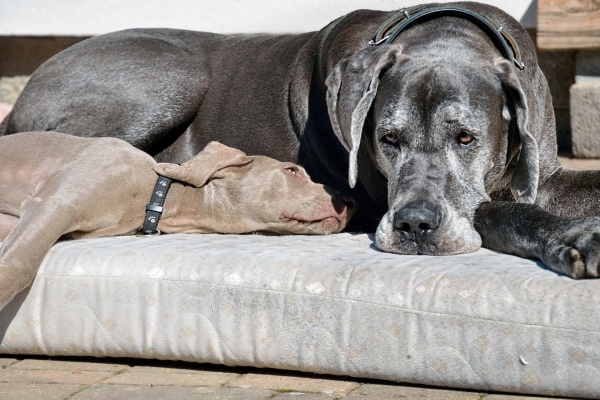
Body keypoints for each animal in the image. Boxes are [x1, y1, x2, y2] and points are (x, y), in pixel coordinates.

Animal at [3, 1, 600, 278]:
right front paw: (574, 239)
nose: (413, 227)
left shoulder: (543, 174)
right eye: (387, 138)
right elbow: (498, 212)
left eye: (466, 138)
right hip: (171, 77)